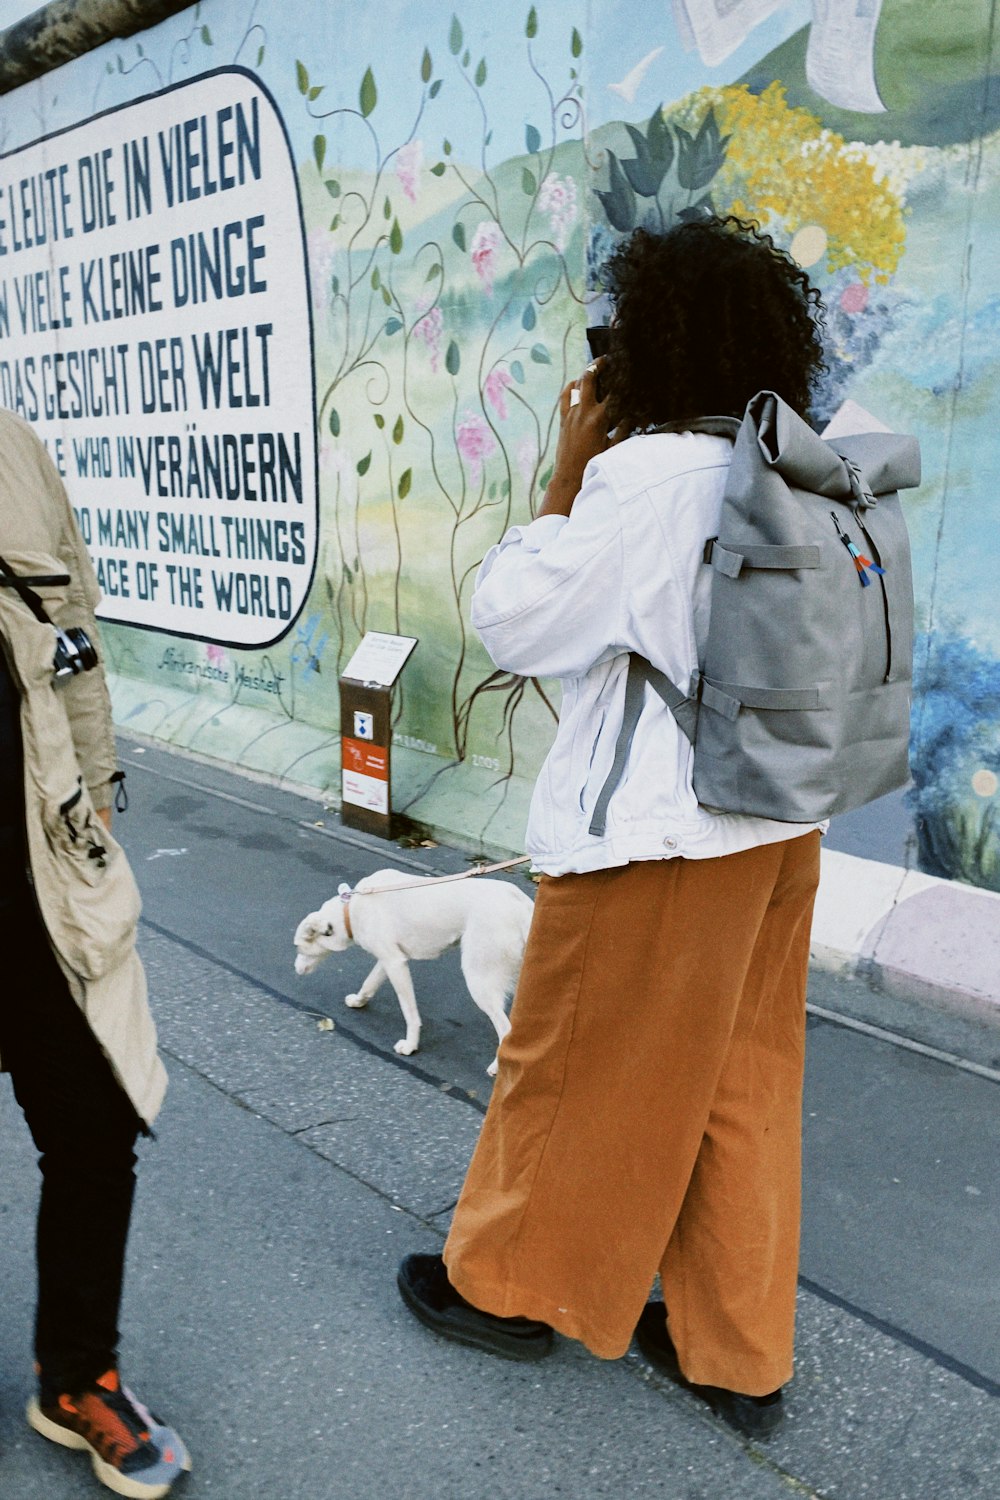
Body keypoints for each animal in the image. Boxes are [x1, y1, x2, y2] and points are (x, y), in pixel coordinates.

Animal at [293, 876, 536, 1074]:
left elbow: (410, 1014)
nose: (296, 969)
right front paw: (359, 1001)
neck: (351, 910)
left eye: (298, 947)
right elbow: (369, 983)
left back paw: (498, 1068)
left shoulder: (396, 964)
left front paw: (410, 1046)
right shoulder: (390, 960)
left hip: (479, 981)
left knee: (505, 1030)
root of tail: (523, 907)